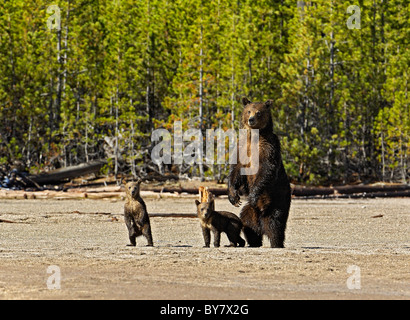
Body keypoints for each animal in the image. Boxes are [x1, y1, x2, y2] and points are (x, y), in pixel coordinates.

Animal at [227, 97, 292, 248]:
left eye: (259, 112)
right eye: (248, 111)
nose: (251, 119)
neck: (254, 137)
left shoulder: (268, 147)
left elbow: (266, 169)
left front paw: (252, 195)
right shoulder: (242, 146)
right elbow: (236, 169)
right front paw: (233, 196)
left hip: (278, 200)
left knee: (275, 223)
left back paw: (276, 243)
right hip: (251, 212)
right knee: (248, 223)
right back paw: (254, 241)